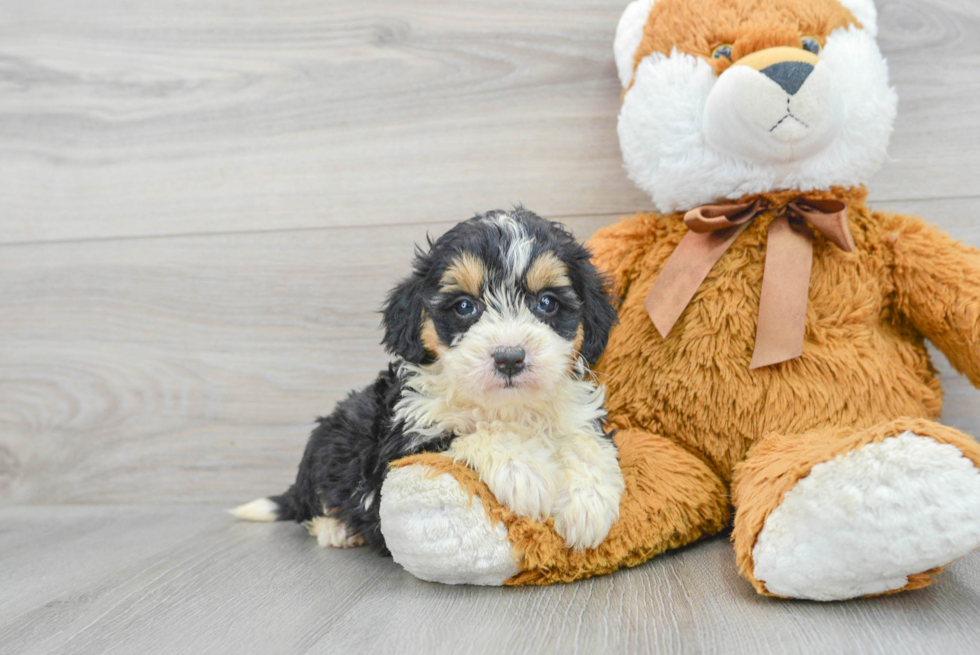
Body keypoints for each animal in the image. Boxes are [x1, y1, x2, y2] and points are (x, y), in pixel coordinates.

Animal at [234, 209, 624, 552]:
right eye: (465, 307)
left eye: (547, 303)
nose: (510, 357)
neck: (505, 406)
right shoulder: (401, 446)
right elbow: (470, 434)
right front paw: (524, 471)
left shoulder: (577, 415)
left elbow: (587, 443)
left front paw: (588, 504)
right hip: (328, 444)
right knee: (315, 505)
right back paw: (336, 529)